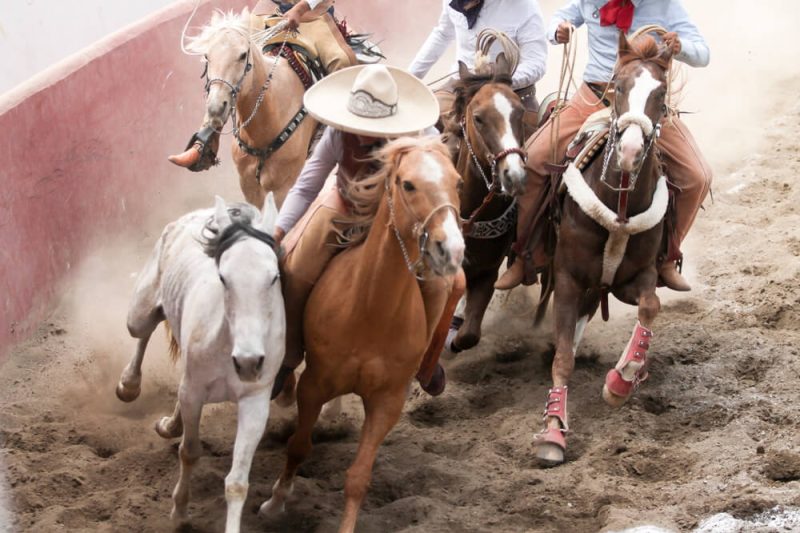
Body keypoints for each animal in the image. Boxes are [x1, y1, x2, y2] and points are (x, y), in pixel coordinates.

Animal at [115, 193, 284, 532]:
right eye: (223, 278)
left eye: (274, 277)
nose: (248, 362)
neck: (228, 345)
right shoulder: (194, 393)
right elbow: (190, 451)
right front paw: (180, 512)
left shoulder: (255, 401)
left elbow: (237, 482)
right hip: (139, 313)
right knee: (144, 329)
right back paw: (128, 385)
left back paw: (169, 423)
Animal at [260, 137, 466, 532]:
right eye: (407, 184)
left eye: (458, 182)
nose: (452, 249)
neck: (371, 310)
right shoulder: (314, 383)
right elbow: (298, 445)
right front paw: (276, 501)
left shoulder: (388, 401)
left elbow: (358, 477)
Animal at [440, 56, 528, 356]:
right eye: (478, 118)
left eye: (520, 112)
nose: (514, 175)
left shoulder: (487, 271)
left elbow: (469, 335)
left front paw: (453, 338)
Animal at [532, 33, 676, 464]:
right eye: (619, 88)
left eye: (661, 94)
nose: (629, 151)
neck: (620, 203)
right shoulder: (567, 278)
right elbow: (563, 357)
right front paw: (553, 430)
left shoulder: (636, 278)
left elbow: (650, 307)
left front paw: (622, 380)